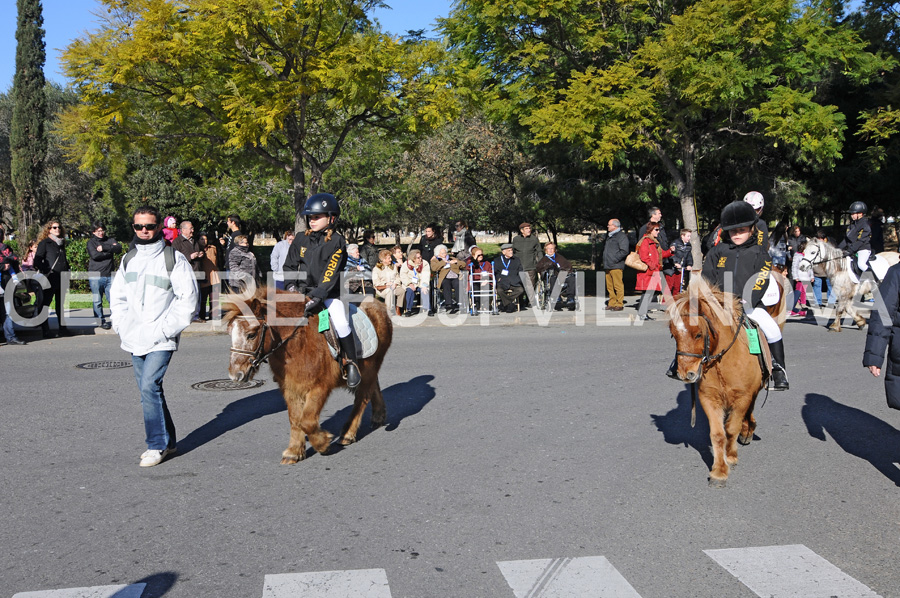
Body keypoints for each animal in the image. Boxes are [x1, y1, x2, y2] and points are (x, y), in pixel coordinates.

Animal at [223, 290, 392, 464]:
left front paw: (322, 443)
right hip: (368, 368)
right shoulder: (290, 387)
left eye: (251, 335)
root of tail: (378, 304)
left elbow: (307, 421)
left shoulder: (319, 387)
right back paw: (378, 416)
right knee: (373, 387)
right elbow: (295, 419)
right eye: (229, 332)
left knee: (362, 397)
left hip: (370, 367)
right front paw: (294, 451)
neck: (298, 340)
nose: (236, 374)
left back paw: (348, 433)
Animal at [664, 278, 784, 490]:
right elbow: (718, 434)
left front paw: (731, 456)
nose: (686, 374)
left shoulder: (742, 396)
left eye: (698, 334)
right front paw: (719, 471)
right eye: (674, 334)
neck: (722, 361)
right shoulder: (709, 399)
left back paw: (747, 430)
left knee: (749, 410)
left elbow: (731, 429)